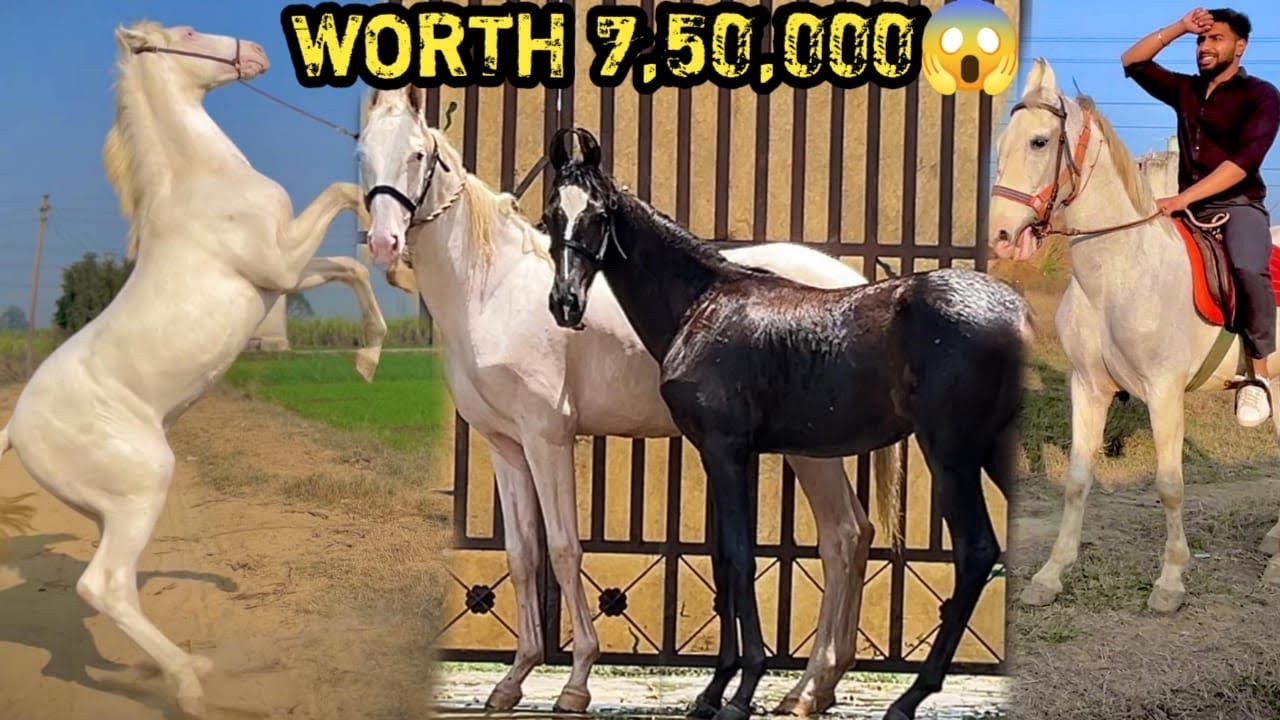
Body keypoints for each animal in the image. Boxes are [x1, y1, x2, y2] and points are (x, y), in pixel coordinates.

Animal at [0, 21, 385, 716]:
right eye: (184, 31)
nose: (256, 53)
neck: (201, 183)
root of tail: (16, 427)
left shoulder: (281, 279)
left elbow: (350, 269)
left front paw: (368, 358)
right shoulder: (280, 261)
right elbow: (344, 200)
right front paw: (378, 227)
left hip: (107, 509)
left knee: (113, 587)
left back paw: (165, 670)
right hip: (145, 482)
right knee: (104, 587)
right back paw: (189, 684)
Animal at [356, 85, 904, 716]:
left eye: (419, 154)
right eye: (363, 153)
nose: (384, 242)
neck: (492, 288)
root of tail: (851, 283)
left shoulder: (548, 439)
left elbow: (564, 549)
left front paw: (574, 683)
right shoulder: (504, 446)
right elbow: (521, 556)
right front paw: (513, 680)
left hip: (810, 451)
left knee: (841, 539)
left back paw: (807, 688)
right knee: (850, 537)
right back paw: (817, 687)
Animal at [542, 127, 1029, 720]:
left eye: (599, 212)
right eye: (551, 213)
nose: (565, 303)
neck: (703, 303)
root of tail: (1018, 315)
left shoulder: (725, 449)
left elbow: (739, 558)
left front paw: (741, 689)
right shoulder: (724, 454)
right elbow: (723, 559)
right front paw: (714, 691)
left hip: (952, 453)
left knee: (975, 550)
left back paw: (908, 697)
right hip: (995, 449)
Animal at [990, 58, 1280, 614]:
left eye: (1039, 141)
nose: (1003, 236)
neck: (1120, 272)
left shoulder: (1164, 393)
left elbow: (1169, 486)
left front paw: (1170, 582)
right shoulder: (1087, 387)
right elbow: (1077, 479)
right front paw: (1050, 575)